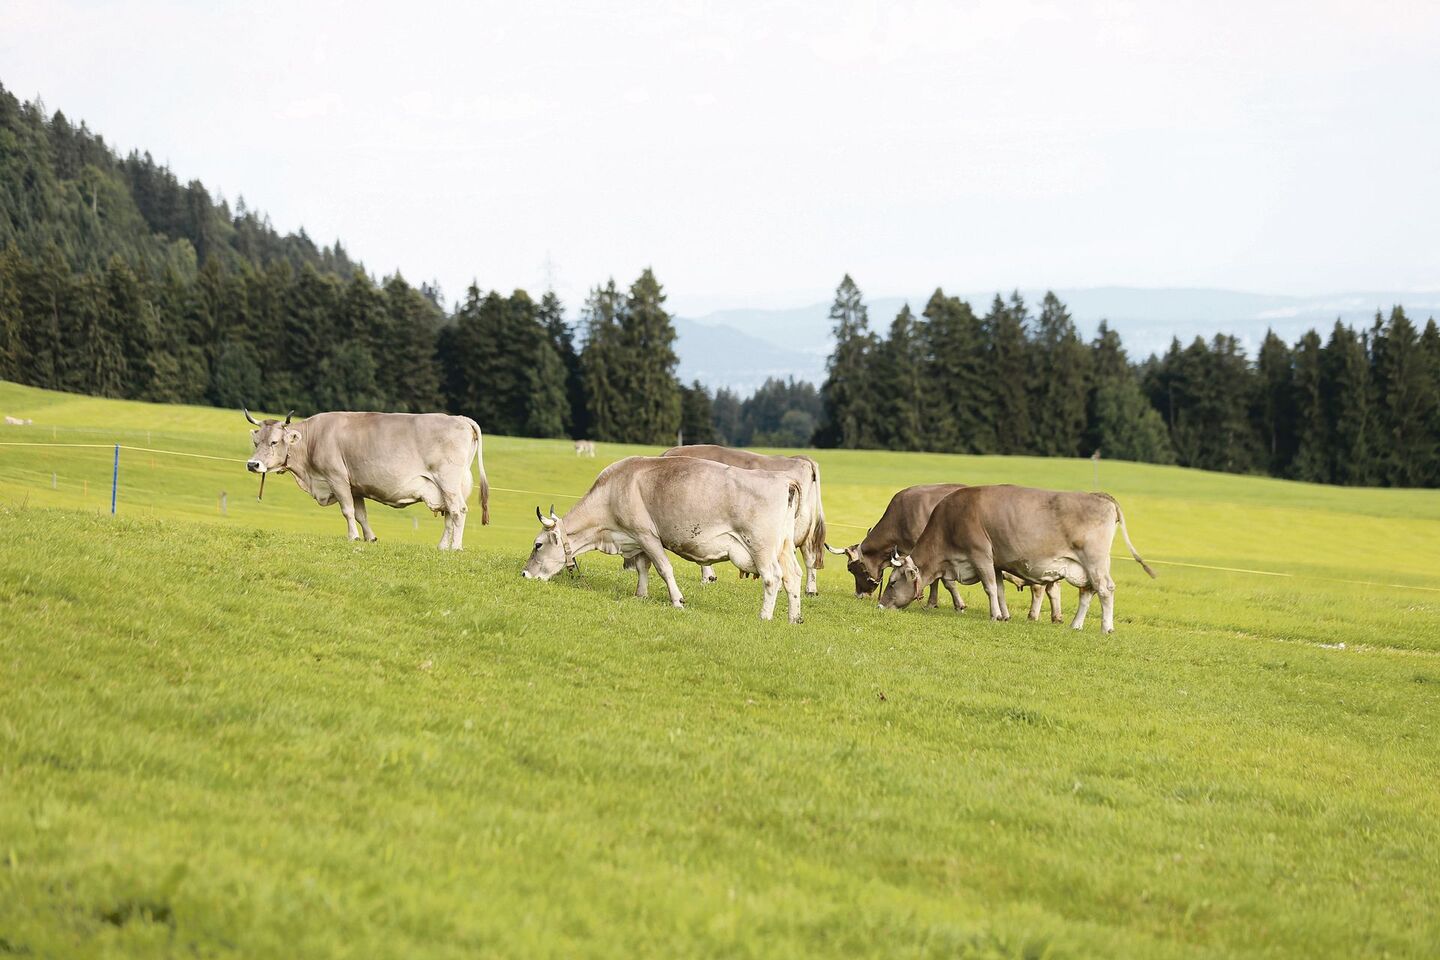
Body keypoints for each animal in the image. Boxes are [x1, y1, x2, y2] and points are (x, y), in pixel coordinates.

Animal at [243, 408, 489, 550]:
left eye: (274, 442)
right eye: (256, 442)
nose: (253, 464)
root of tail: (459, 418)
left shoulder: (337, 478)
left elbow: (348, 511)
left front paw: (352, 537)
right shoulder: (355, 486)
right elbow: (361, 514)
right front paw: (370, 538)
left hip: (448, 481)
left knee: (458, 511)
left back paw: (455, 547)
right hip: (447, 486)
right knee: (449, 514)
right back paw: (441, 547)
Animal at [521, 455, 805, 622]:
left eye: (537, 545)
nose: (524, 574)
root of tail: (783, 480)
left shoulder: (647, 535)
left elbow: (663, 568)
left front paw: (677, 601)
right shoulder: (636, 539)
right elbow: (642, 567)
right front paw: (641, 594)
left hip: (761, 546)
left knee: (772, 577)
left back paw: (764, 616)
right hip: (784, 546)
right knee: (793, 576)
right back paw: (794, 618)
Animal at [660, 444, 827, 595]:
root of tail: (801, 459)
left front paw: (707, 578)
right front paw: (710, 577)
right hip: (804, 529)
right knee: (809, 556)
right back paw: (810, 590)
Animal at [824, 483, 1063, 621]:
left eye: (852, 569)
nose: (859, 594)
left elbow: (943, 582)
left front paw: (952, 604)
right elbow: (940, 580)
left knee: (1040, 588)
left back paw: (1035, 615)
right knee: (1052, 588)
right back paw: (1056, 616)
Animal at [877, 485, 1154, 633]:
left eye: (892, 582)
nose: (880, 605)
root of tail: (1099, 495)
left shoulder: (981, 555)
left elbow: (989, 587)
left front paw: (993, 616)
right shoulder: (997, 562)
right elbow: (999, 589)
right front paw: (1004, 615)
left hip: (1094, 561)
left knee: (1105, 590)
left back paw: (1106, 628)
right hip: (1085, 566)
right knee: (1087, 591)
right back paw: (1075, 625)